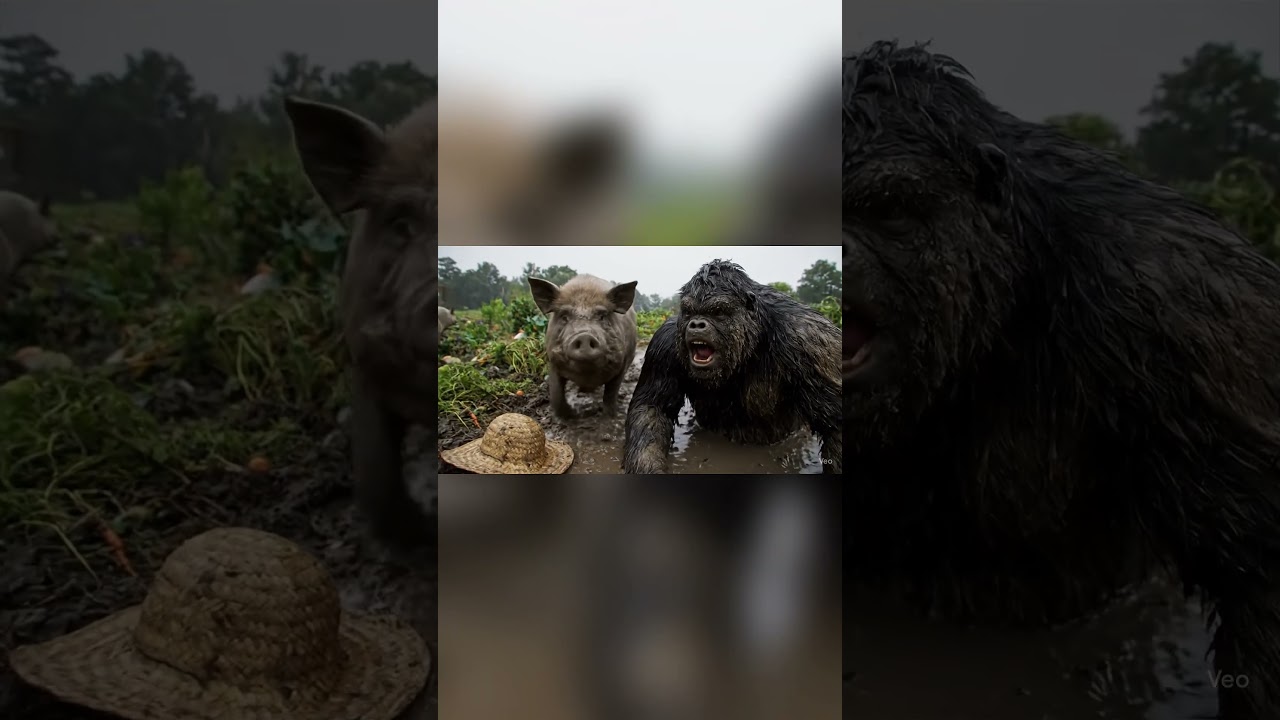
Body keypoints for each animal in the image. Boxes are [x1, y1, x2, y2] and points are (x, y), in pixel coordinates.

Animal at [528, 274, 639, 419]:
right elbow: (557, 395)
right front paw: (572, 415)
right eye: (564, 317)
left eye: (602, 316)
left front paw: (609, 416)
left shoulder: (622, 363)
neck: (587, 375)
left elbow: (611, 393)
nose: (584, 336)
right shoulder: (553, 361)